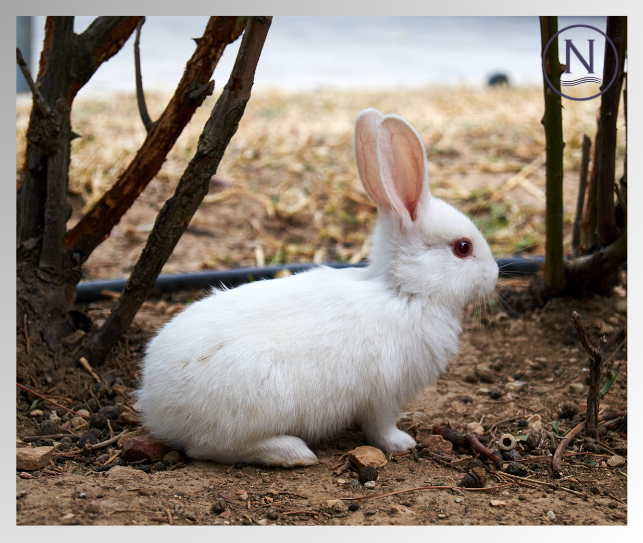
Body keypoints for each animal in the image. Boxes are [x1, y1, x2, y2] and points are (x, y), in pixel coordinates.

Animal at [137, 108, 499, 467]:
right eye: (463, 247)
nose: (495, 274)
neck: (403, 290)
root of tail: (158, 408)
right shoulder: (382, 396)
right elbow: (380, 428)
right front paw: (402, 443)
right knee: (209, 448)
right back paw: (294, 452)